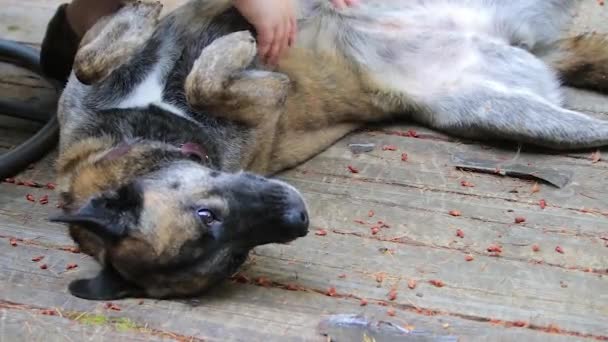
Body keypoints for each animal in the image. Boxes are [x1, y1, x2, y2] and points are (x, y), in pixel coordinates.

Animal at [51, 0, 608, 300]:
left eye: (207, 214)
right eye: (235, 256)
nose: (299, 217)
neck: (148, 128)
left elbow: (89, 59)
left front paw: (153, 15)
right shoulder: (270, 95)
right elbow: (204, 79)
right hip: (512, 114)